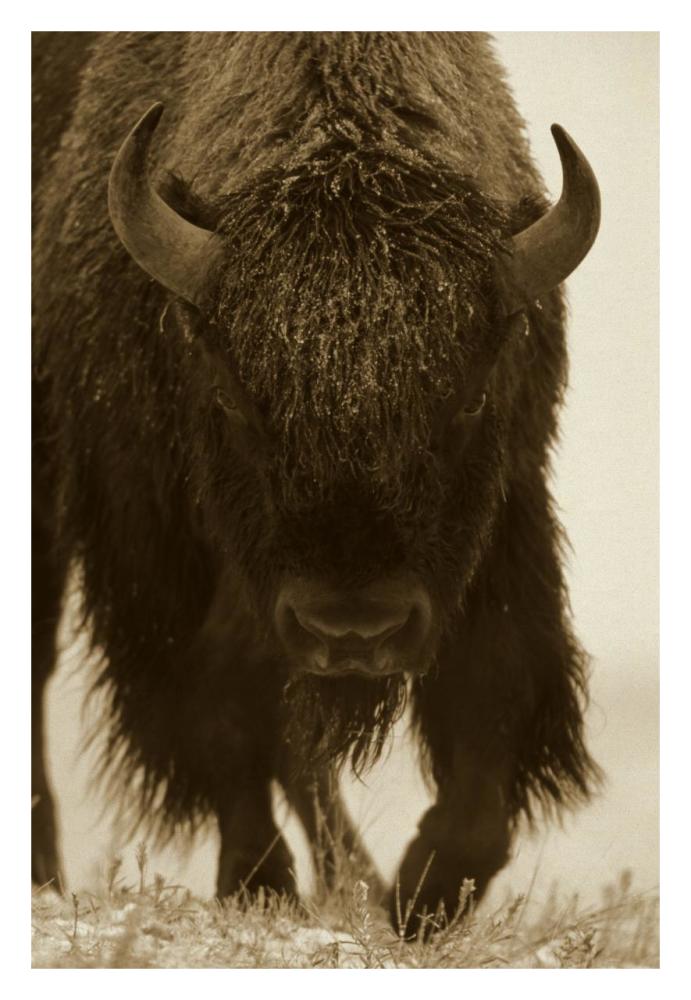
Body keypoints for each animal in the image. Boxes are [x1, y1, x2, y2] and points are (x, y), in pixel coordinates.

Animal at [32, 31, 601, 933]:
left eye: (470, 396)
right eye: (231, 394)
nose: (354, 630)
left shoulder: (504, 513)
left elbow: (493, 694)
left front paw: (421, 895)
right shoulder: (158, 543)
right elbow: (222, 703)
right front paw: (257, 882)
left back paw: (355, 879)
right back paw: (46, 873)